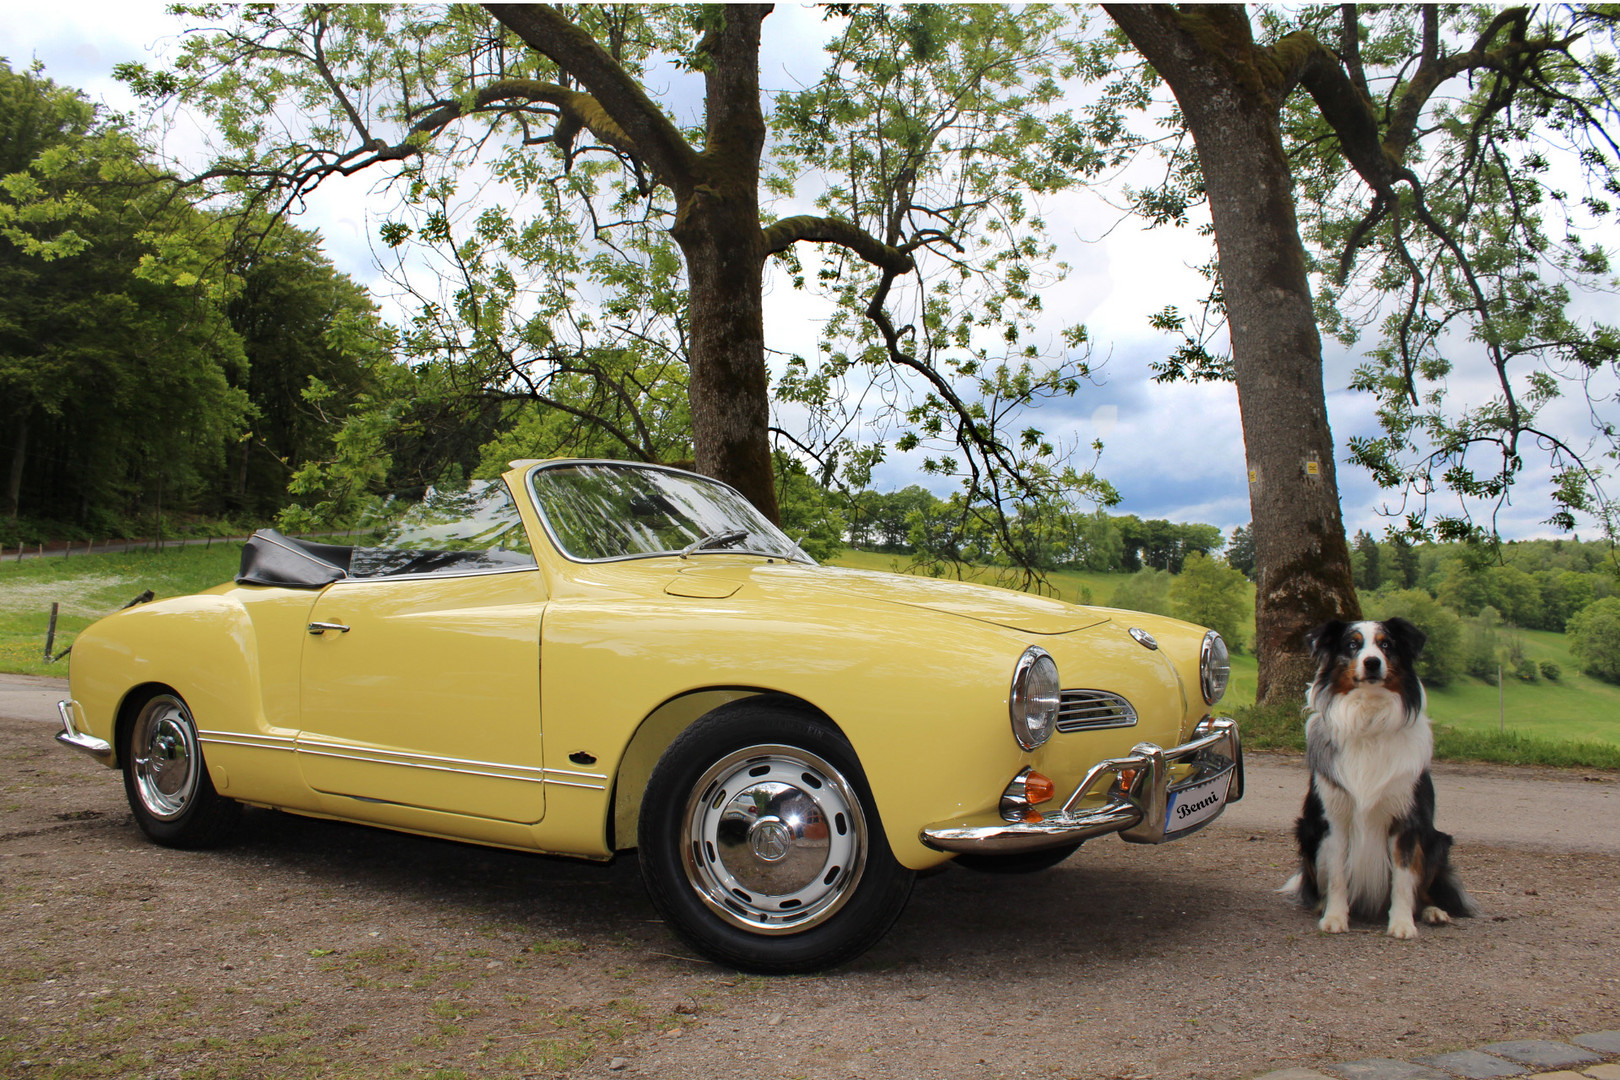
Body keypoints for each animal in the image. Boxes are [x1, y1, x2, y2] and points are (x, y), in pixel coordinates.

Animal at [1276, 615, 1483, 939]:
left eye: (1387, 645)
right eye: (1352, 645)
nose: (1372, 662)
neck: (1369, 717)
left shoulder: (1406, 821)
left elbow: (1403, 879)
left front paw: (1402, 923)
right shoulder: (1334, 819)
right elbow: (1337, 874)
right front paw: (1335, 917)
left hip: (1436, 841)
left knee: (1425, 888)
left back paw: (1433, 911)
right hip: (1307, 831)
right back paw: (1321, 904)